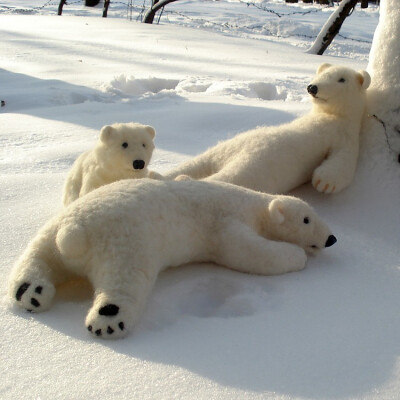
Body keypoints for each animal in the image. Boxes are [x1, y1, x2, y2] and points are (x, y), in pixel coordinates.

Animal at [8, 180, 334, 340]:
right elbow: (247, 252)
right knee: (124, 282)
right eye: (307, 219)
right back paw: (108, 322)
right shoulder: (226, 222)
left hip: (54, 229)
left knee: (39, 254)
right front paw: (297, 255)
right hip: (129, 241)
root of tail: (75, 232)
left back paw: (29, 293)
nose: (331, 238)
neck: (252, 202)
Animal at [162, 64, 372, 195]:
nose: (312, 87)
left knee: (225, 174)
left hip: (250, 163)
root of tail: (227, 156)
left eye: (341, 79)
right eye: (319, 75)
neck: (331, 116)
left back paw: (176, 179)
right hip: (232, 148)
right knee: (202, 163)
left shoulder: (345, 136)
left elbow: (342, 162)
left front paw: (324, 182)